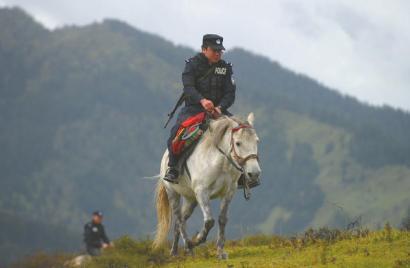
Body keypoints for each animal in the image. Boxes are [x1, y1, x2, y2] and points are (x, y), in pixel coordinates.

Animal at [152, 112, 262, 258]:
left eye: (257, 141)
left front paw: (220, 251)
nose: (254, 173)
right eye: (238, 143)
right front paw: (197, 240)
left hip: (191, 199)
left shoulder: (229, 192)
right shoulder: (202, 192)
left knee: (179, 222)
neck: (220, 163)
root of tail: (164, 157)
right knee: (179, 219)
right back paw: (187, 246)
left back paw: (179, 251)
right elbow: (209, 221)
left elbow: (222, 219)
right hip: (173, 193)